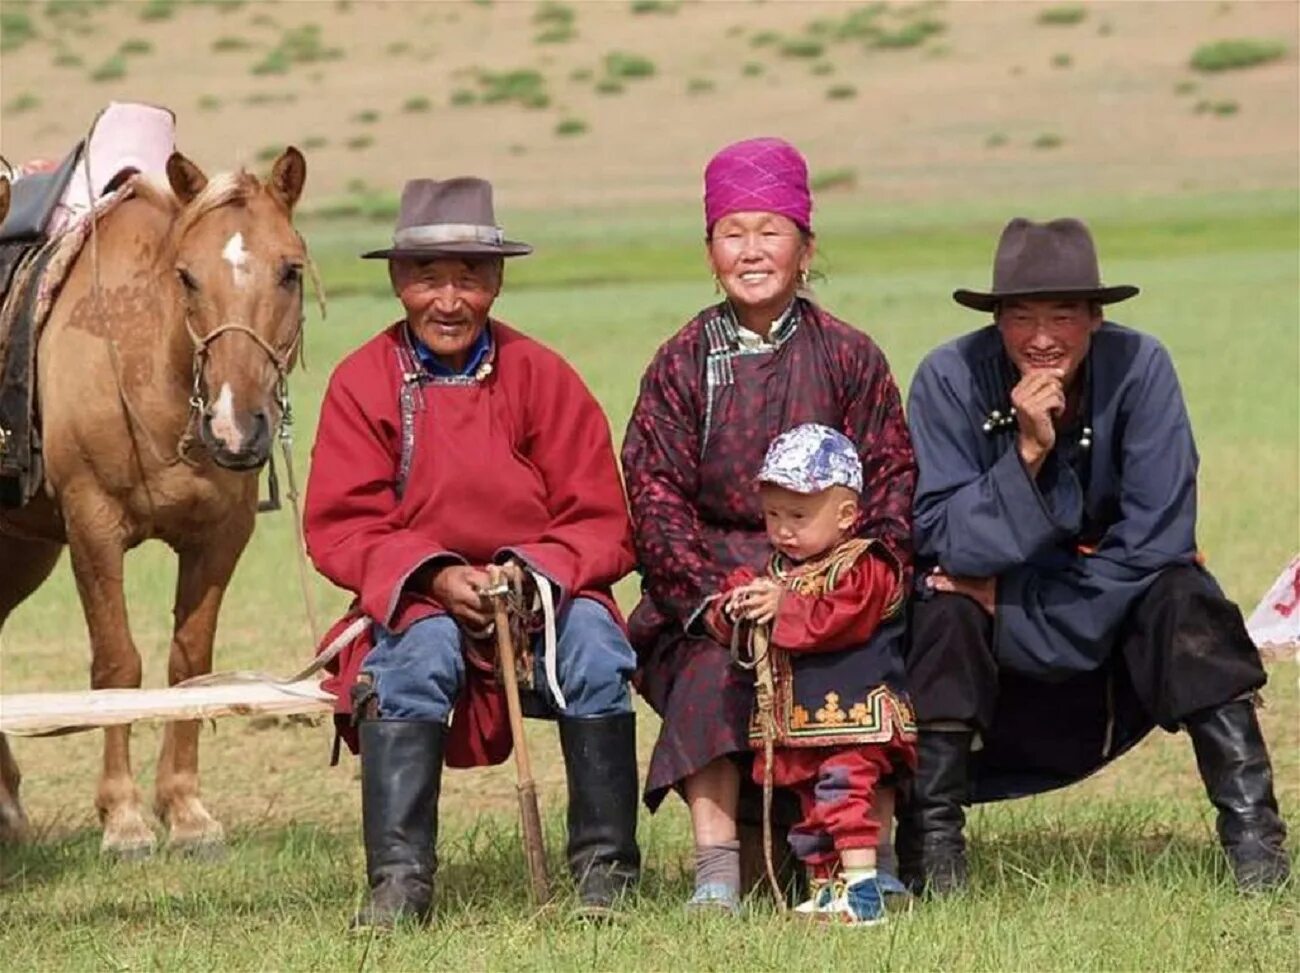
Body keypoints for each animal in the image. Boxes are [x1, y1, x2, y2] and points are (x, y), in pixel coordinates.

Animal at [0, 146, 306, 853]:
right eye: (186, 276)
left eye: (291, 270)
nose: (235, 426)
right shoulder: (92, 527)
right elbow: (117, 666)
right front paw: (125, 819)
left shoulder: (221, 537)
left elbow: (191, 665)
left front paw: (187, 811)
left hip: (22, 553)